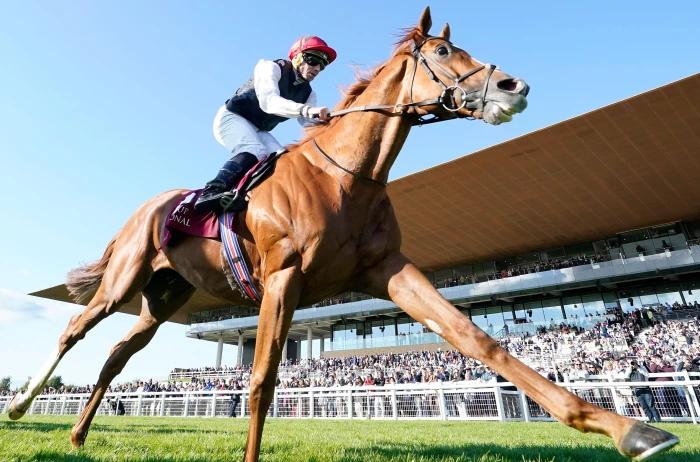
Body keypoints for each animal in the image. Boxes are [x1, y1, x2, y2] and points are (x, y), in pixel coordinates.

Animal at [6, 7, 680, 462]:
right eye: (442, 51)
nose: (515, 86)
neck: (347, 176)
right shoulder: (283, 278)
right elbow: (262, 378)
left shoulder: (388, 270)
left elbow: (478, 339)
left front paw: (630, 430)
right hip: (124, 278)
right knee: (74, 329)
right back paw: (18, 407)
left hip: (163, 298)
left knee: (118, 355)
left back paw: (76, 434)